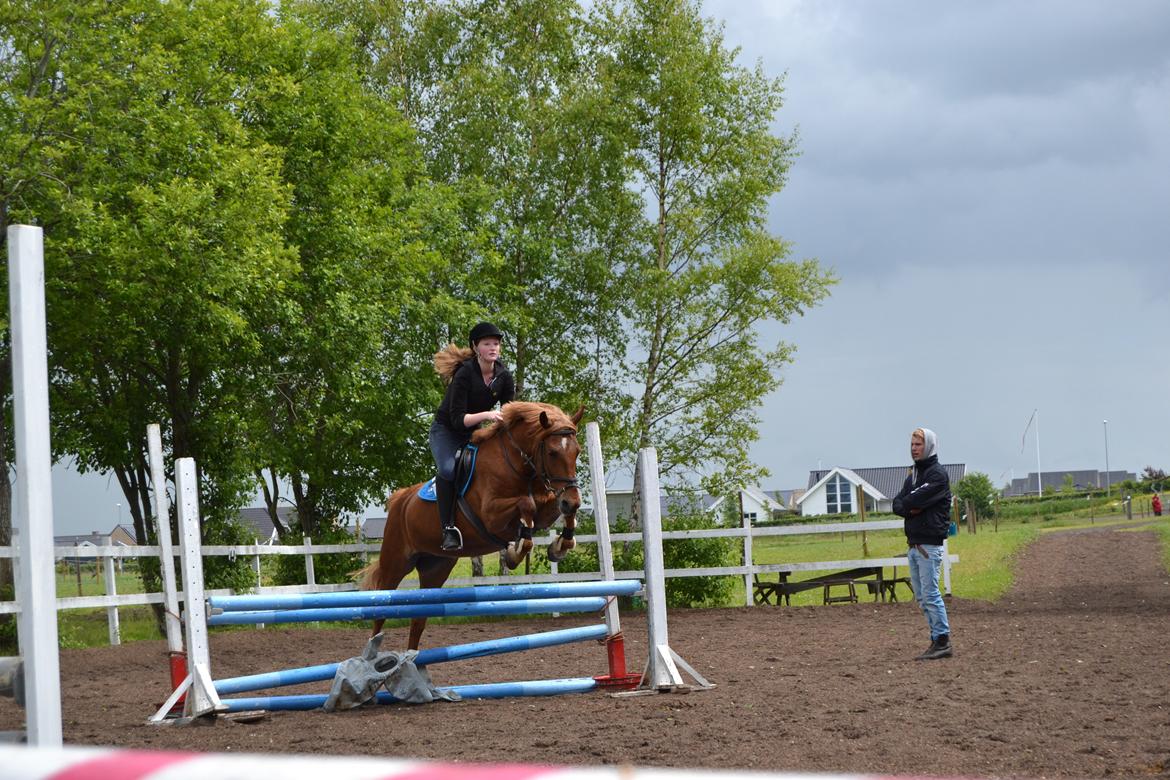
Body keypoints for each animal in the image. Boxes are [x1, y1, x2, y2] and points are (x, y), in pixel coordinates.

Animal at [358, 399, 585, 650]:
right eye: (553, 453)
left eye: (577, 452)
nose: (571, 500)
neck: (516, 464)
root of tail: (400, 499)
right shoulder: (491, 516)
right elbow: (526, 505)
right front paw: (514, 554)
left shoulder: (546, 507)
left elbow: (554, 511)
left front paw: (561, 545)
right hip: (396, 563)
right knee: (381, 609)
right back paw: (372, 650)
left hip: (435, 568)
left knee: (419, 618)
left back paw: (412, 658)